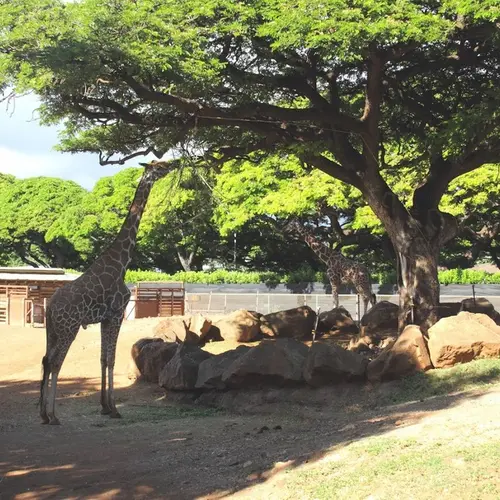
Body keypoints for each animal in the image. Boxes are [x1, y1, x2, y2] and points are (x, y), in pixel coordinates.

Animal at [40, 159, 175, 422]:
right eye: (158, 166)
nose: (174, 164)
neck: (121, 263)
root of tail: (50, 307)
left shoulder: (104, 318)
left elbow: (103, 358)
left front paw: (104, 406)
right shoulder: (116, 313)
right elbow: (111, 360)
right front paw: (113, 408)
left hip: (52, 330)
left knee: (45, 360)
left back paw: (42, 414)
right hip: (69, 328)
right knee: (56, 362)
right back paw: (53, 416)